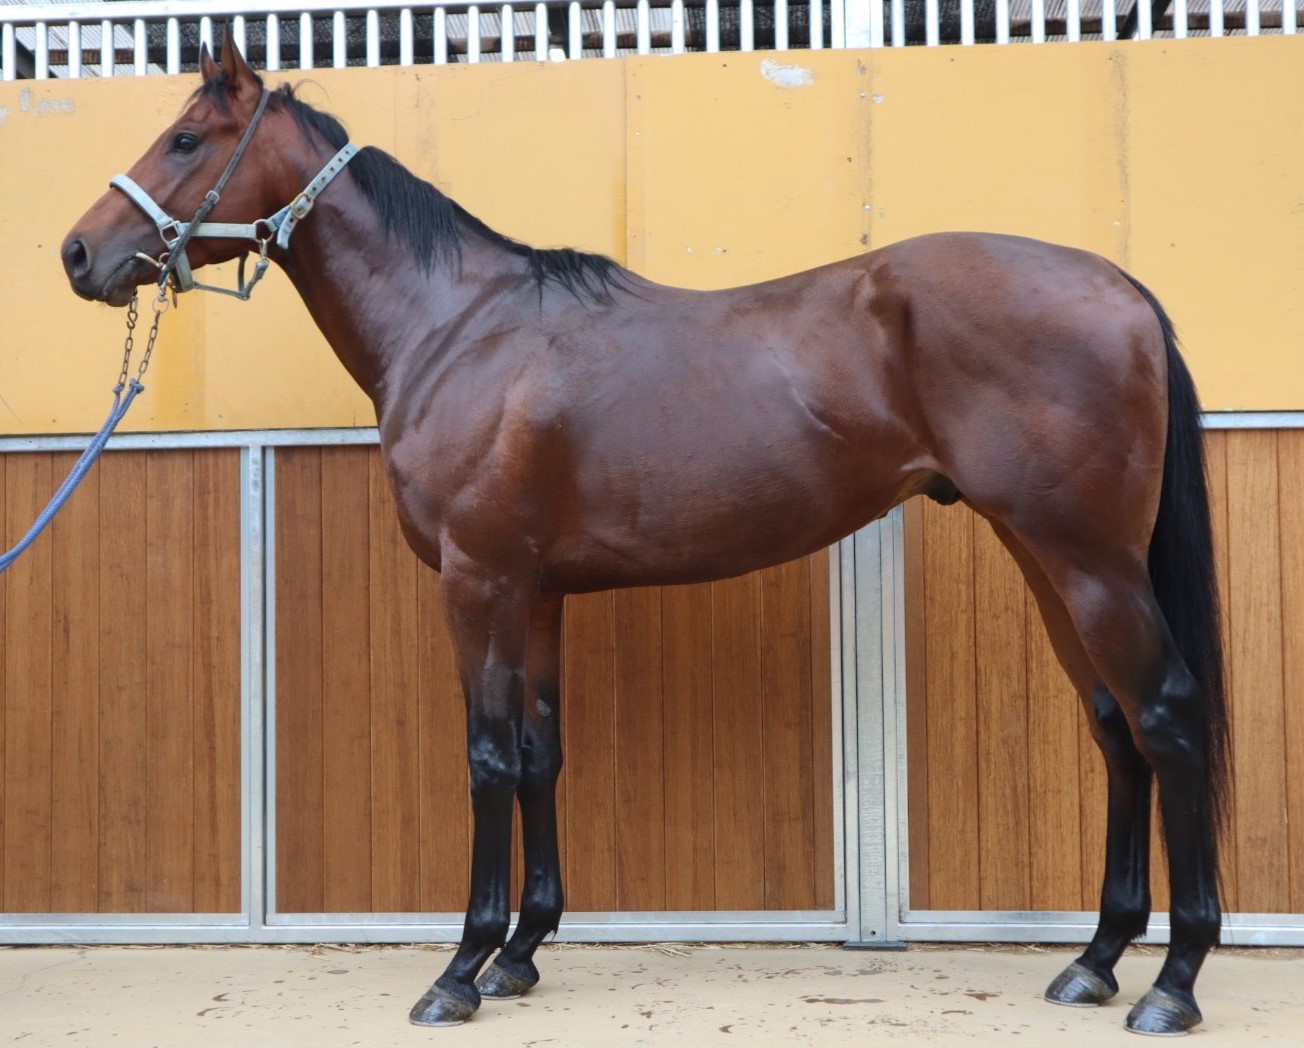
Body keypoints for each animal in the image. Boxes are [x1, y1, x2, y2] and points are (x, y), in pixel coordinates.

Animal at [61, 35, 1229, 1037]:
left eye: (185, 139)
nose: (79, 254)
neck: (459, 328)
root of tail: (1119, 286)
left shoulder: (477, 583)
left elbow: (487, 757)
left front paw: (460, 970)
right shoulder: (534, 593)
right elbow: (541, 753)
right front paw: (522, 953)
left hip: (1088, 563)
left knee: (1166, 719)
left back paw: (1170, 982)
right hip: (1050, 559)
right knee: (1113, 727)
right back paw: (1093, 959)